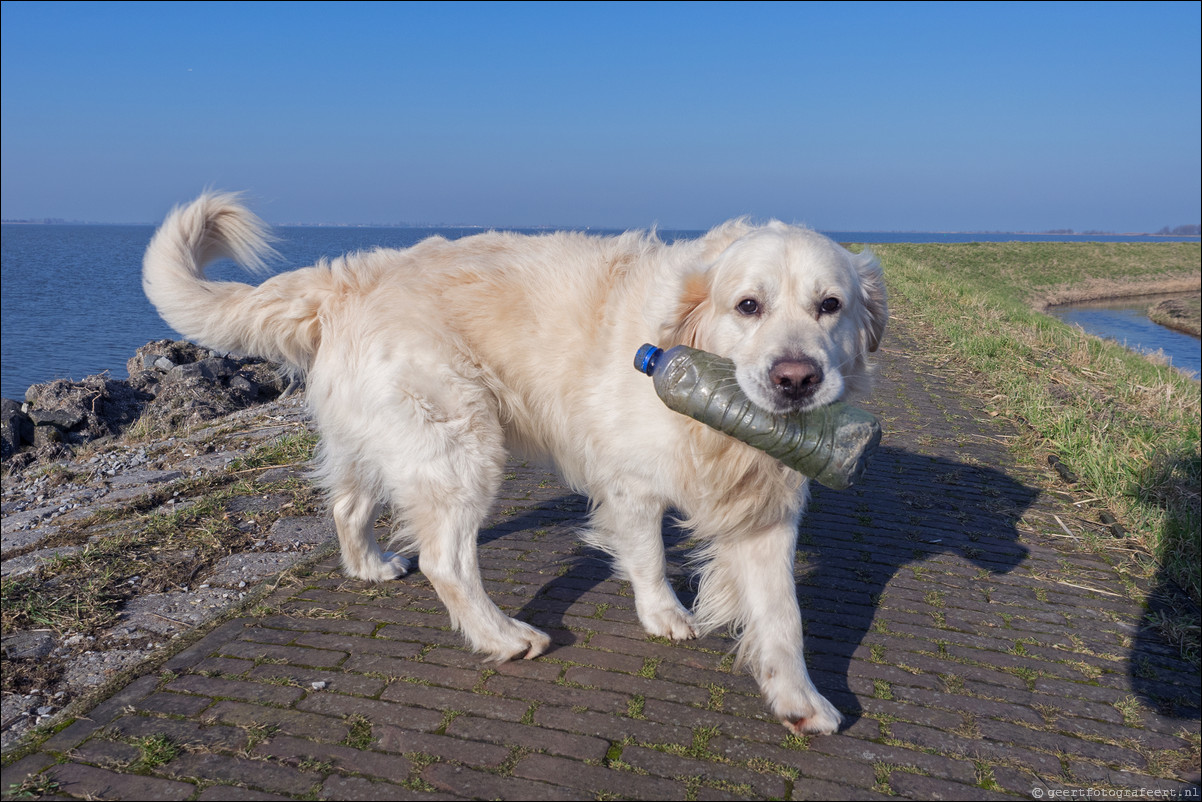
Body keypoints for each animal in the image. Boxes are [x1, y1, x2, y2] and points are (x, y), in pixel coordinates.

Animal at [145, 192, 889, 735]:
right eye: (748, 306)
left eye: (831, 306)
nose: (797, 379)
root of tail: (346, 277)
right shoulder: (630, 480)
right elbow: (646, 554)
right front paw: (665, 615)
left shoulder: (769, 509)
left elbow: (783, 614)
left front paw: (800, 699)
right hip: (461, 443)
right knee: (446, 560)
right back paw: (502, 636)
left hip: (380, 437)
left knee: (348, 503)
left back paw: (370, 566)